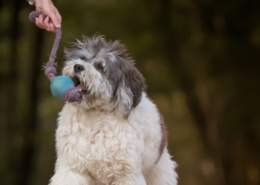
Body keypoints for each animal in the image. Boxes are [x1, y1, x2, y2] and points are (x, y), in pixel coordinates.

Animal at [49, 36, 177, 185]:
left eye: (100, 67)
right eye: (82, 58)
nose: (78, 66)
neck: (95, 115)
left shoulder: (126, 175)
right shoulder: (73, 168)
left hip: (161, 172)